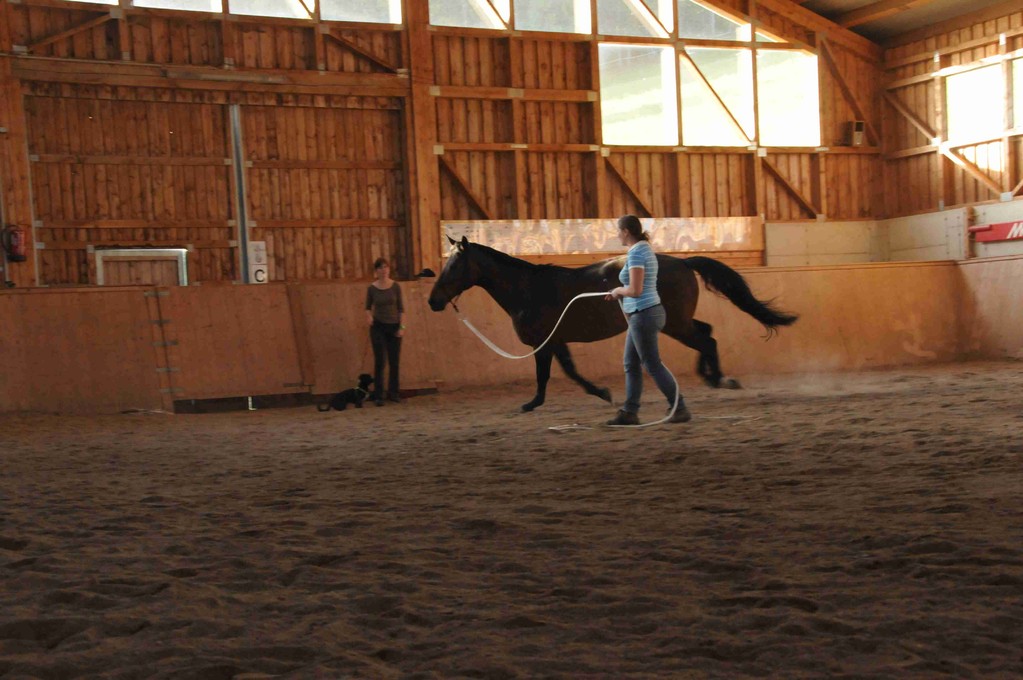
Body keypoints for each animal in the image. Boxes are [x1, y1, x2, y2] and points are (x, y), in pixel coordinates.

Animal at [427, 236, 793, 411]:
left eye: (455, 266)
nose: (433, 301)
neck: (528, 290)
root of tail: (683, 262)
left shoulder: (547, 343)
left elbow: (555, 374)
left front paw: (595, 394)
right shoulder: (554, 342)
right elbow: (563, 372)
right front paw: (596, 394)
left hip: (675, 324)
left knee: (707, 340)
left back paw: (719, 379)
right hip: (677, 322)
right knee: (707, 333)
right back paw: (710, 377)